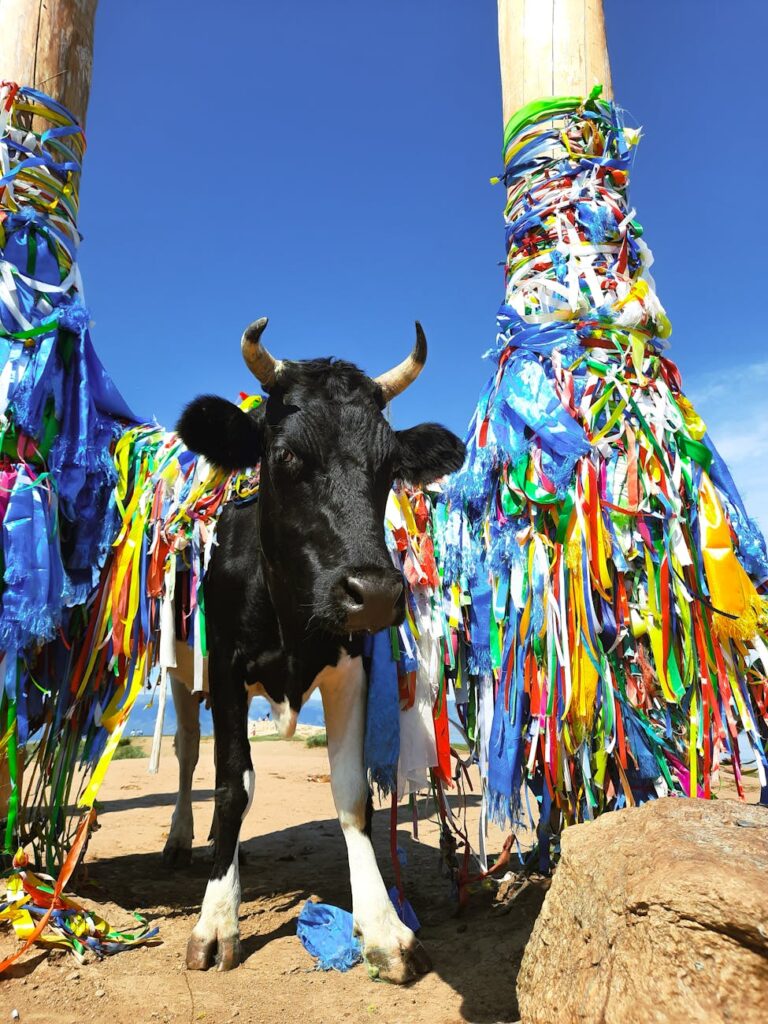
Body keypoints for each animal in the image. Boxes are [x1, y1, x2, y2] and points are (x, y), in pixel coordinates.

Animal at [166, 318, 465, 982]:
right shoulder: (224, 669)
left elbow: (351, 795)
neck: (289, 622)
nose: (375, 593)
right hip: (182, 672)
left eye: (389, 466)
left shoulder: (350, 669)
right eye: (285, 455)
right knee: (189, 753)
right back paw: (182, 840)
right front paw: (216, 919)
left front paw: (383, 927)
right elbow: (232, 784)